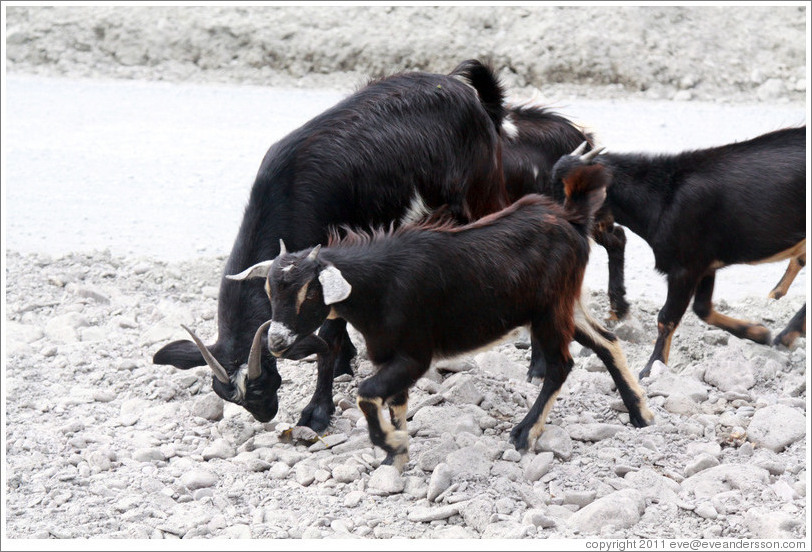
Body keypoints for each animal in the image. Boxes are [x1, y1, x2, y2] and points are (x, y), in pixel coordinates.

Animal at [151, 61, 508, 432]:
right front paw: (344, 362)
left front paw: (317, 410)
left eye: (261, 383)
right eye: (226, 396)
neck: (286, 195)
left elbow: (329, 337)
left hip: (480, 195)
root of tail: (465, 90)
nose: (266, 414)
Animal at [232, 161, 656, 470]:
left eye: (308, 291)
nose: (277, 341)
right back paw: (640, 414)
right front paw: (396, 456)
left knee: (561, 365)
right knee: (607, 342)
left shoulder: (414, 354)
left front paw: (392, 444)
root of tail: (572, 220)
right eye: (269, 290)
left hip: (550, 313)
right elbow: (395, 403)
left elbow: (366, 393)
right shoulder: (389, 357)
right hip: (563, 306)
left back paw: (523, 433)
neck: (379, 284)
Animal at [552, 127, 804, 382]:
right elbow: (703, 309)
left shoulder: (684, 268)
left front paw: (651, 367)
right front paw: (757, 332)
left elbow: (666, 318)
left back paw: (786, 334)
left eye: (576, 191)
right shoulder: (704, 265)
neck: (663, 198)